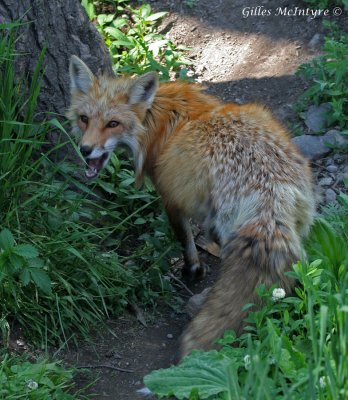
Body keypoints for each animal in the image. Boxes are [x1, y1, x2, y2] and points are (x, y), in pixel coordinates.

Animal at [67, 55, 316, 356]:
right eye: (84, 119)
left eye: (113, 123)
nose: (85, 150)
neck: (157, 120)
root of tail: (270, 188)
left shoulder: (170, 197)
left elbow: (184, 240)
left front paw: (192, 271)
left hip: (222, 226)